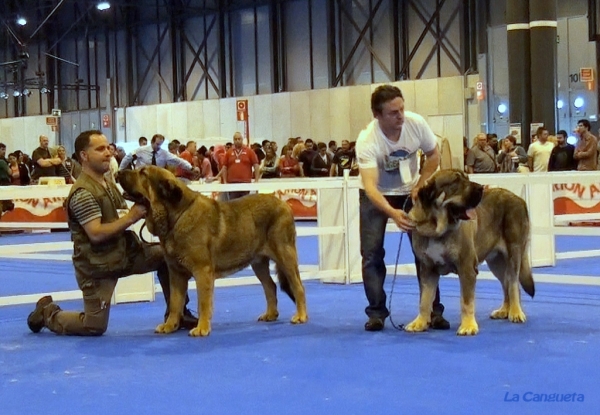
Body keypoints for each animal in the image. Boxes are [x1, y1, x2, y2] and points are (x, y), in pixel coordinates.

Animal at [116, 166, 308, 338]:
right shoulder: (176, 273)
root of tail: (284, 204)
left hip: (285, 255)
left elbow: (203, 302)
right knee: (270, 286)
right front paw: (170, 326)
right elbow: (175, 302)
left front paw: (202, 328)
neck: (176, 217)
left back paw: (301, 316)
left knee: (298, 286)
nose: (118, 172)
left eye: (143, 173)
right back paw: (270, 314)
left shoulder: (202, 271)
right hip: (258, 263)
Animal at [406, 171, 532, 336]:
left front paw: (468, 326)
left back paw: (516, 312)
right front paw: (419, 322)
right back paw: (504, 310)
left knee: (513, 282)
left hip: (514, 252)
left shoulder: (466, 268)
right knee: (506, 282)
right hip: (496, 262)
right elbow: (425, 299)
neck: (437, 229)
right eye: (456, 181)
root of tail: (519, 198)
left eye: (466, 178)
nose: (481, 188)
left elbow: (466, 301)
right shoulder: (428, 269)